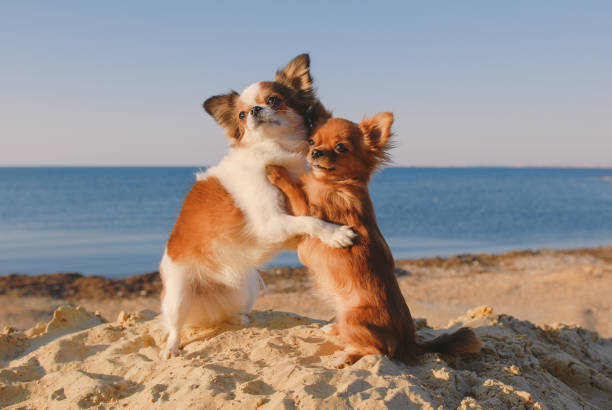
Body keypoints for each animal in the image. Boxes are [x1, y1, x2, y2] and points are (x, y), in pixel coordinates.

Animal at [160, 55, 356, 358]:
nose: (254, 110)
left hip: (244, 289)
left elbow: (308, 219)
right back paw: (171, 347)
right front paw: (335, 234)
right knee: (174, 325)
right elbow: (310, 221)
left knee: (223, 313)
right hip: (179, 292)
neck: (275, 151)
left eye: (274, 100)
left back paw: (236, 318)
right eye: (241, 115)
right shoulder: (271, 223)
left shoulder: (285, 226)